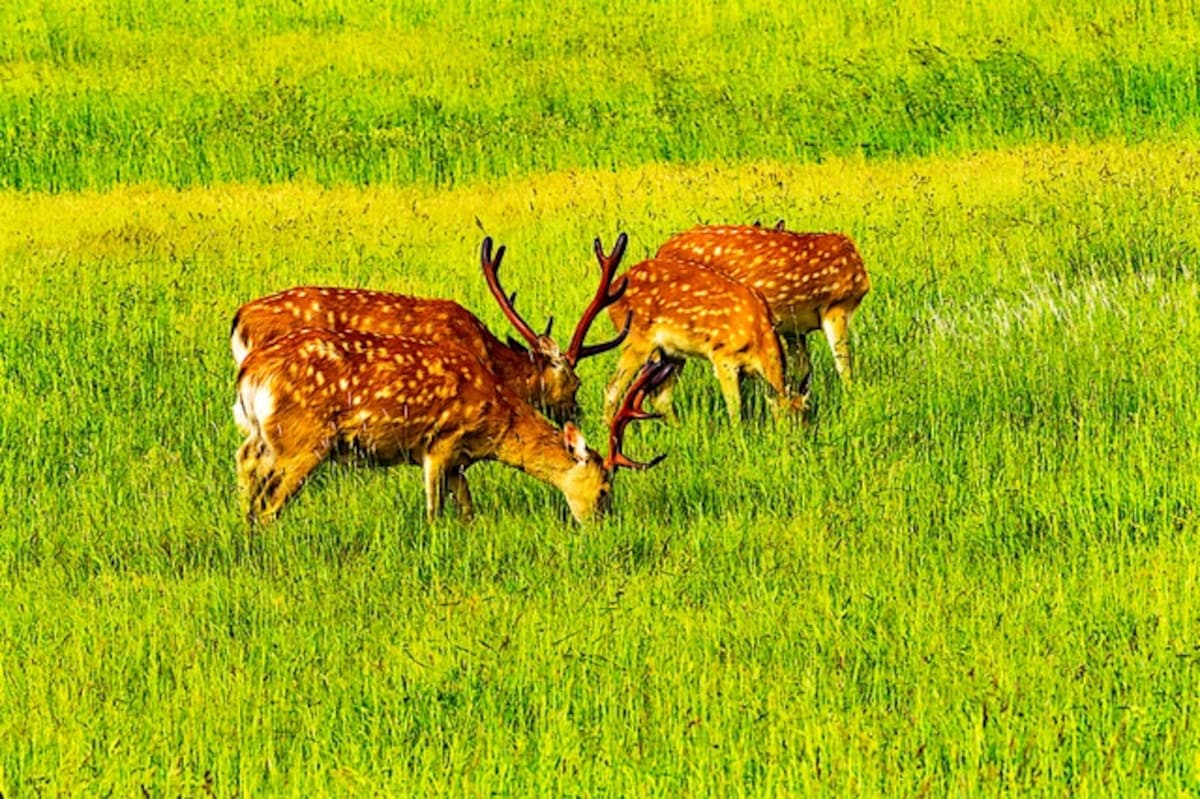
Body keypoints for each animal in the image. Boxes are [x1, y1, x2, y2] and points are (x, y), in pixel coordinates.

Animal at [229, 323, 672, 523]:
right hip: (303, 440)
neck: (495, 421)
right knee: (270, 503)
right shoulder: (440, 442)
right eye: (604, 488)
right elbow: (433, 509)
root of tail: (250, 369)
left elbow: (467, 509)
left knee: (245, 464)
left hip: (262, 435)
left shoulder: (460, 460)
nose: (602, 524)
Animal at [592, 235, 796, 422]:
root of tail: (614, 289)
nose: (789, 436)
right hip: (636, 340)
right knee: (612, 391)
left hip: (672, 352)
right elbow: (735, 409)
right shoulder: (724, 356)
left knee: (660, 398)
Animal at [652, 221, 868, 405]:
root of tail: (660, 252)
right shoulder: (836, 306)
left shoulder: (794, 328)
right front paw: (851, 403)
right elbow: (843, 365)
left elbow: (802, 370)